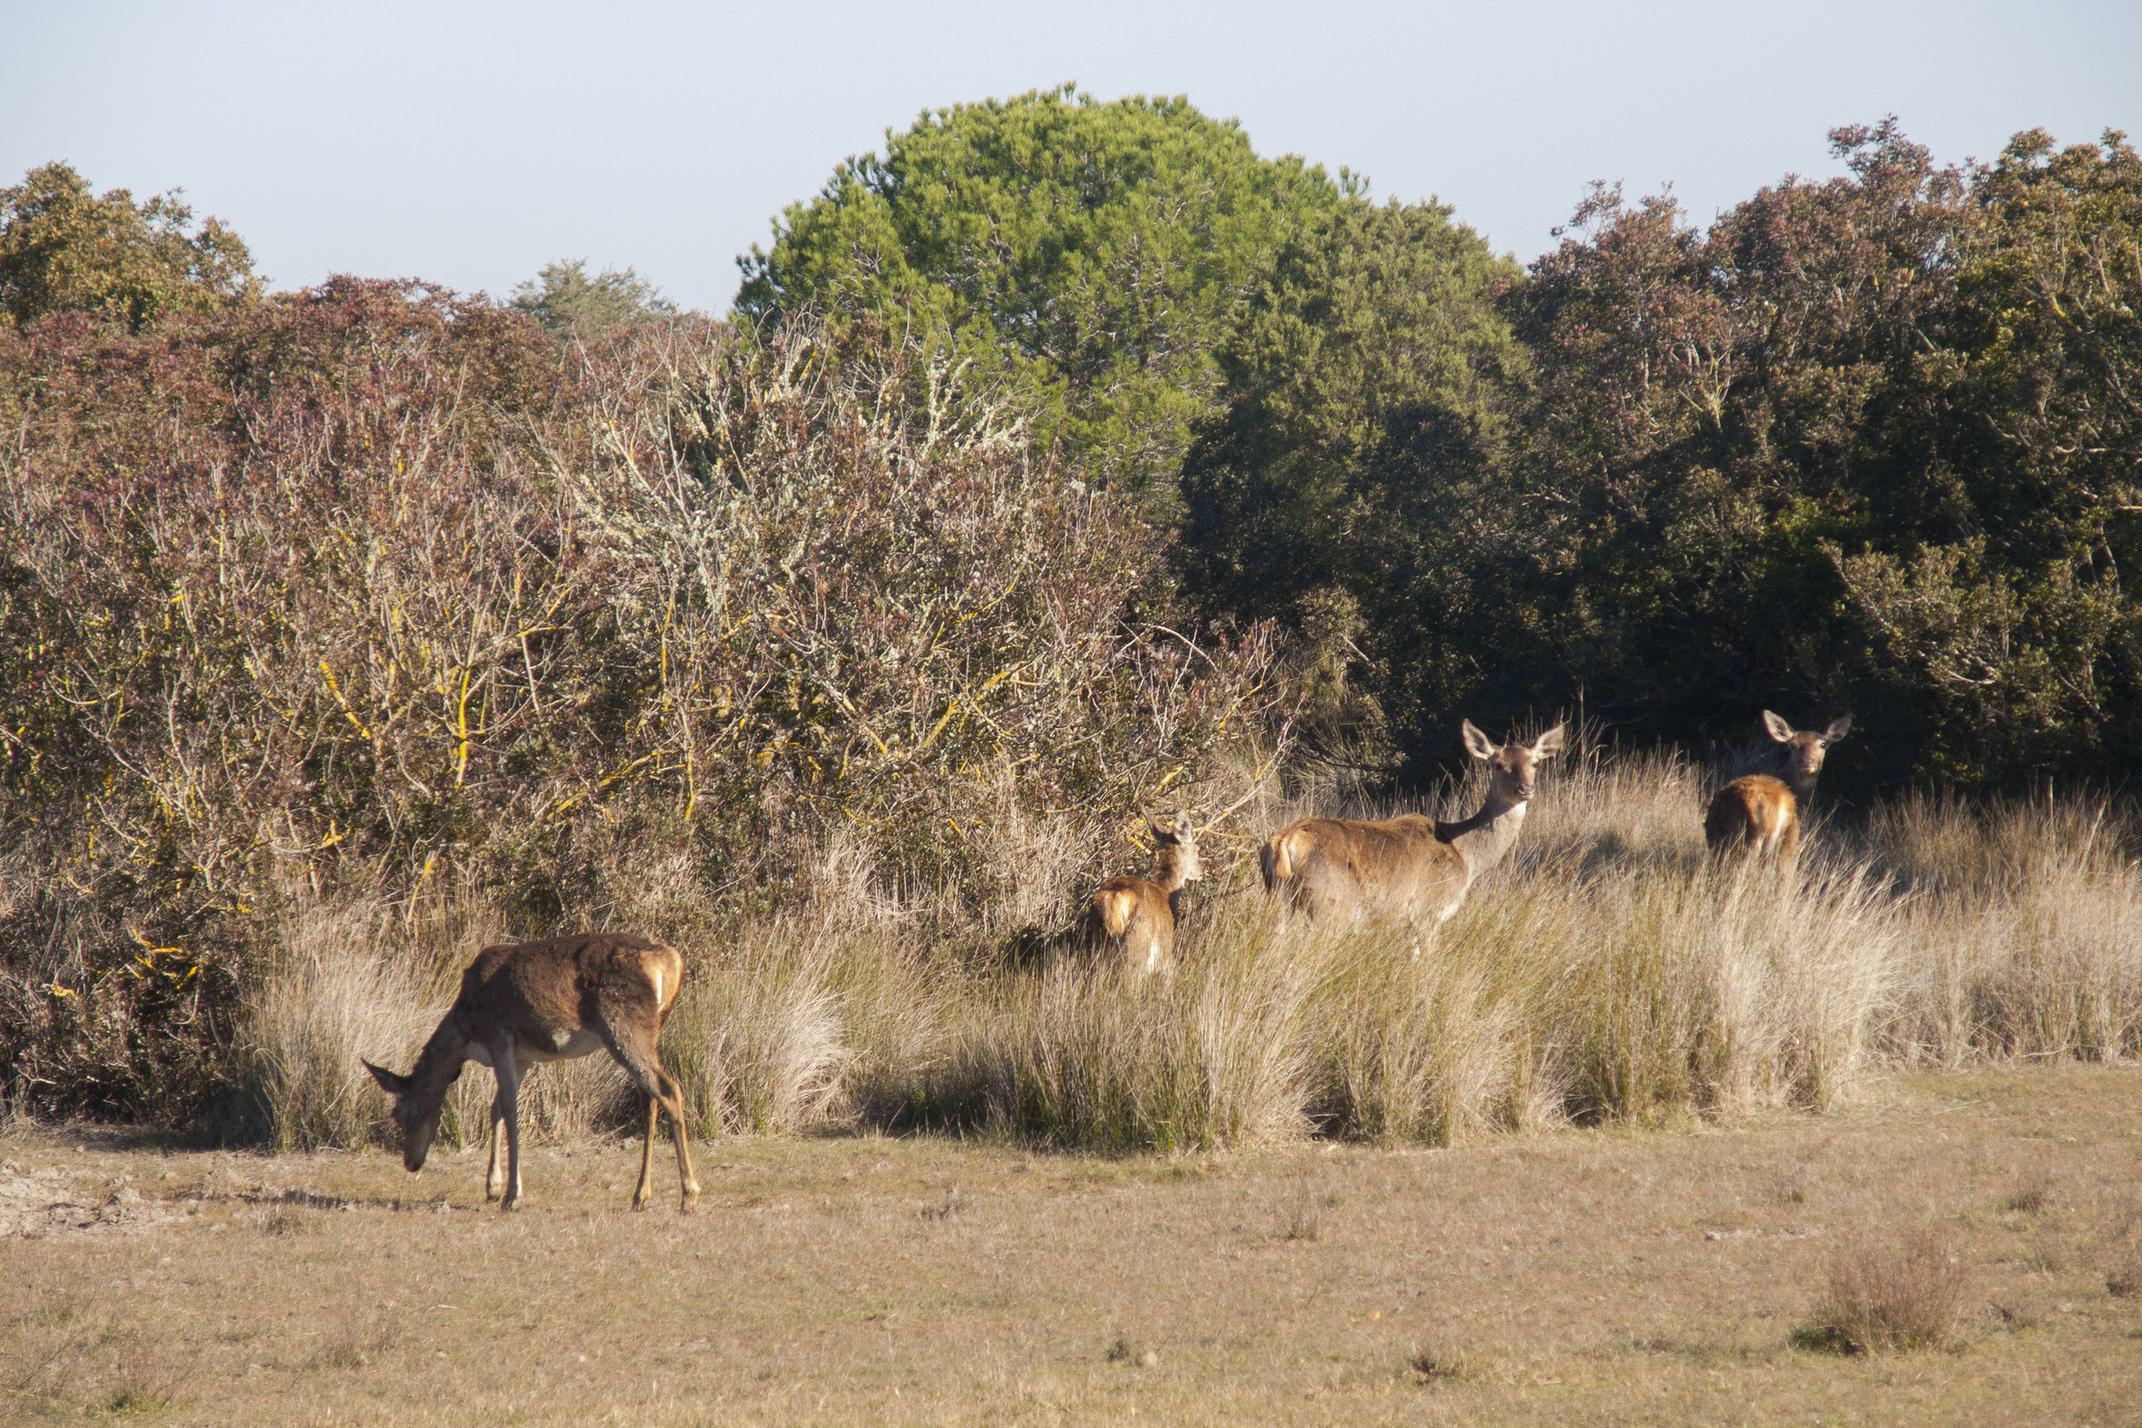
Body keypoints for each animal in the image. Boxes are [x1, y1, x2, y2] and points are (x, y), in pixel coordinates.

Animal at [361, 933, 702, 1216]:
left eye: (399, 1113)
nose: (411, 1163)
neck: (463, 1032)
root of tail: (669, 960)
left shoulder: (498, 1036)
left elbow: (511, 1110)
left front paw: (512, 1195)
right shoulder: (522, 1056)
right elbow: (496, 1107)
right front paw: (493, 1188)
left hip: (622, 1027)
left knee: (667, 1088)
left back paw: (689, 1196)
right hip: (649, 1030)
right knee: (649, 1096)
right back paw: (640, 1195)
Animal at [1088, 813, 1208, 984]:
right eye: (1197, 849)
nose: (1204, 868)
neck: (1165, 891)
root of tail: (1114, 897)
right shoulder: (1166, 956)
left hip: (1098, 946)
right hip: (1138, 946)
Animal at [1250, 719, 1576, 920]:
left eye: (1535, 763)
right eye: (1497, 765)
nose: (1525, 789)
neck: (1467, 857)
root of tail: (1284, 842)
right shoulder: (1428, 909)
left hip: (1278, 901)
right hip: (1328, 901)